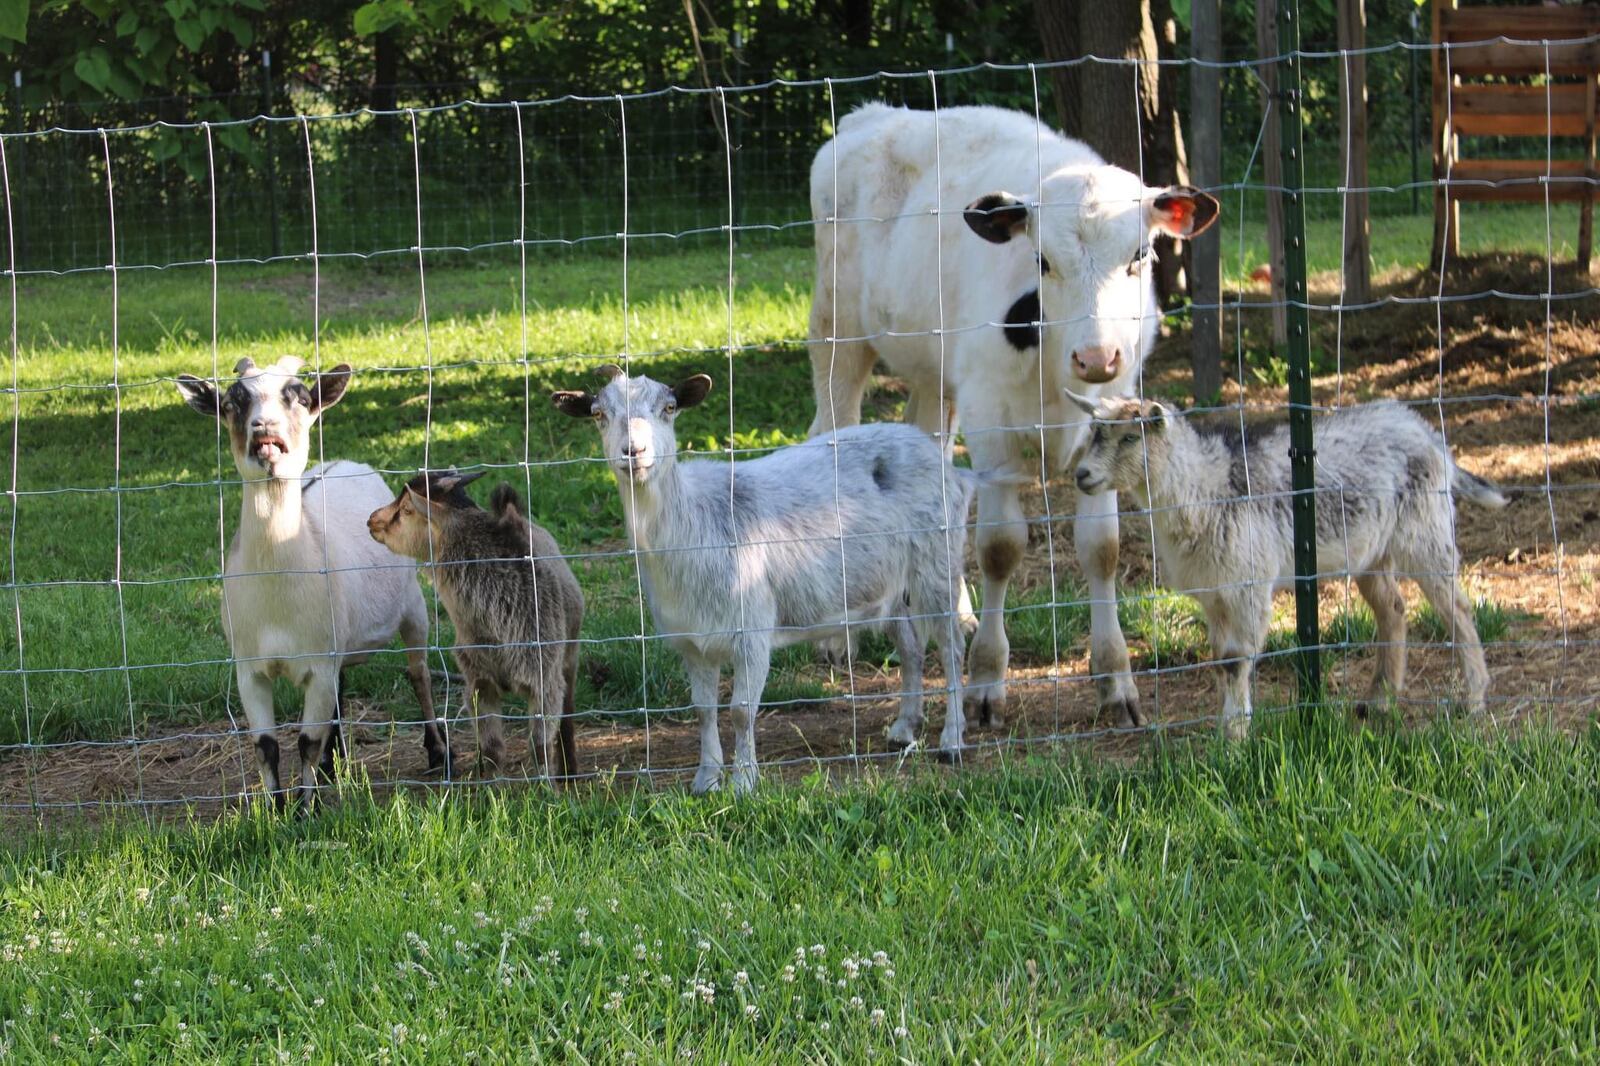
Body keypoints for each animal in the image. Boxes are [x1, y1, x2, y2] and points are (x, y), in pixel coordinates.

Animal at [176, 356, 448, 806]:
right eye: (232, 402)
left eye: (301, 398)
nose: (264, 427)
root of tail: (348, 464)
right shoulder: (250, 669)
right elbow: (266, 746)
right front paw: (277, 808)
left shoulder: (318, 664)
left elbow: (305, 740)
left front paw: (306, 810)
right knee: (342, 691)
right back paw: (331, 767)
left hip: (414, 607)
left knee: (420, 674)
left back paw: (439, 754)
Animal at [550, 364, 972, 787]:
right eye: (599, 414)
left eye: (668, 408)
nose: (633, 452)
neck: (696, 525)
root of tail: (938, 456)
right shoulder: (691, 640)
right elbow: (703, 710)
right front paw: (706, 779)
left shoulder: (752, 630)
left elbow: (740, 710)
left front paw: (743, 782)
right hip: (888, 583)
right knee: (911, 647)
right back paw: (903, 729)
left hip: (938, 564)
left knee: (951, 649)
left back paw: (952, 740)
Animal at [806, 104, 1216, 726]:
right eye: (1041, 261)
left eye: (1140, 257)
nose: (1097, 356)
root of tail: (871, 115)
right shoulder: (992, 432)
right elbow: (999, 549)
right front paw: (985, 683)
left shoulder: (1105, 432)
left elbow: (1102, 547)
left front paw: (1115, 679)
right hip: (837, 339)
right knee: (831, 441)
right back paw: (837, 634)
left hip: (936, 379)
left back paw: (950, 610)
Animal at [1068, 393, 1504, 736]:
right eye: (1094, 434)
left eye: (1130, 437)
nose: (1082, 475)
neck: (1208, 488)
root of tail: (1426, 432)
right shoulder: (1214, 593)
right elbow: (1219, 659)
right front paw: (1227, 726)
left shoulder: (1248, 586)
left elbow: (1233, 661)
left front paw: (1235, 737)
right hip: (1371, 553)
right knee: (1393, 609)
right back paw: (1380, 700)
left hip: (1426, 532)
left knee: (1456, 607)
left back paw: (1473, 699)